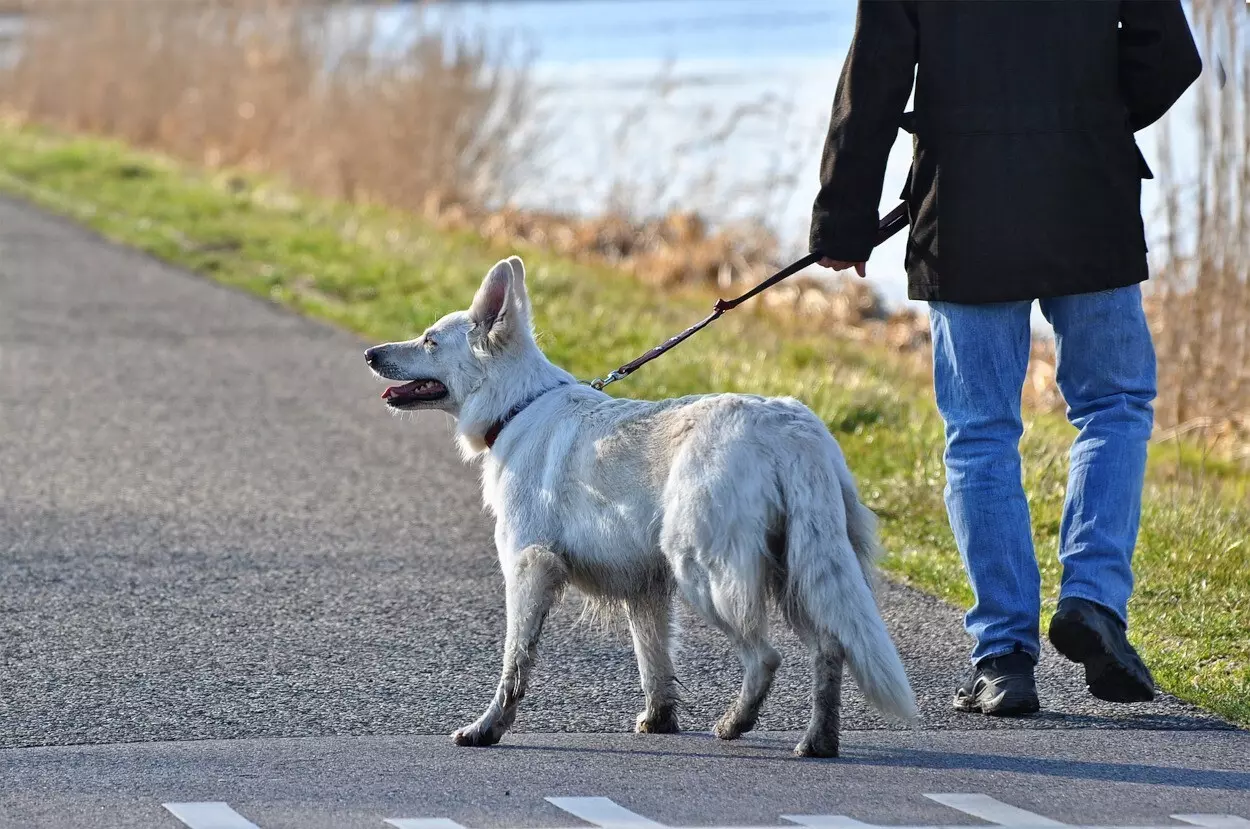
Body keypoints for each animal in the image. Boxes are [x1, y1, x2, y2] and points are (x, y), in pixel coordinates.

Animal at [365, 256, 915, 755]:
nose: (370, 353)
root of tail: (792, 429)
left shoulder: (528, 569)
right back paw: (818, 741)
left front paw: (487, 729)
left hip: (706, 574)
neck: (517, 406)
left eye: (429, 340)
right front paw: (659, 721)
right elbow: (654, 664)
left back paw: (735, 723)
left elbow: (515, 663)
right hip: (798, 573)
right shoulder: (645, 589)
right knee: (830, 648)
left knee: (766, 657)